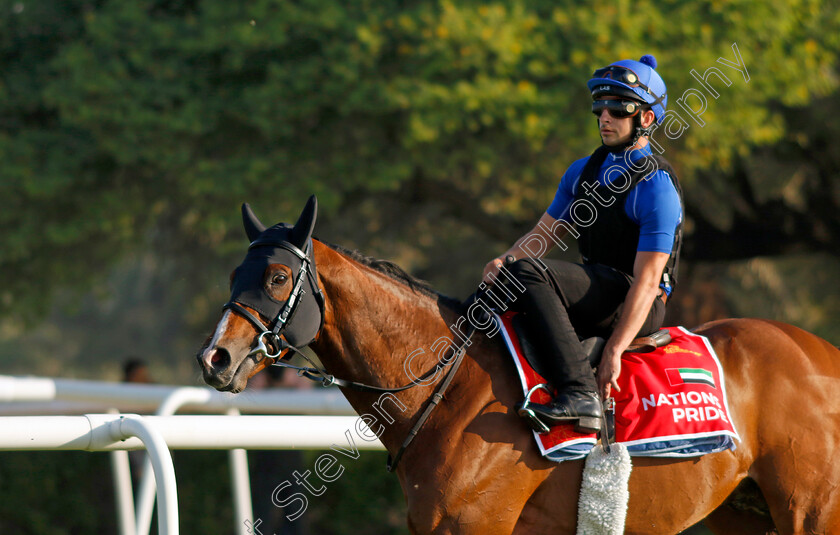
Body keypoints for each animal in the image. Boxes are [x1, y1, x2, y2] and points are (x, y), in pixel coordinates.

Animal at [195, 198, 840, 535]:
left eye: (278, 278)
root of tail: (823, 352)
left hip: (812, 513)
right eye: (232, 275)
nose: (214, 358)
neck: (450, 389)